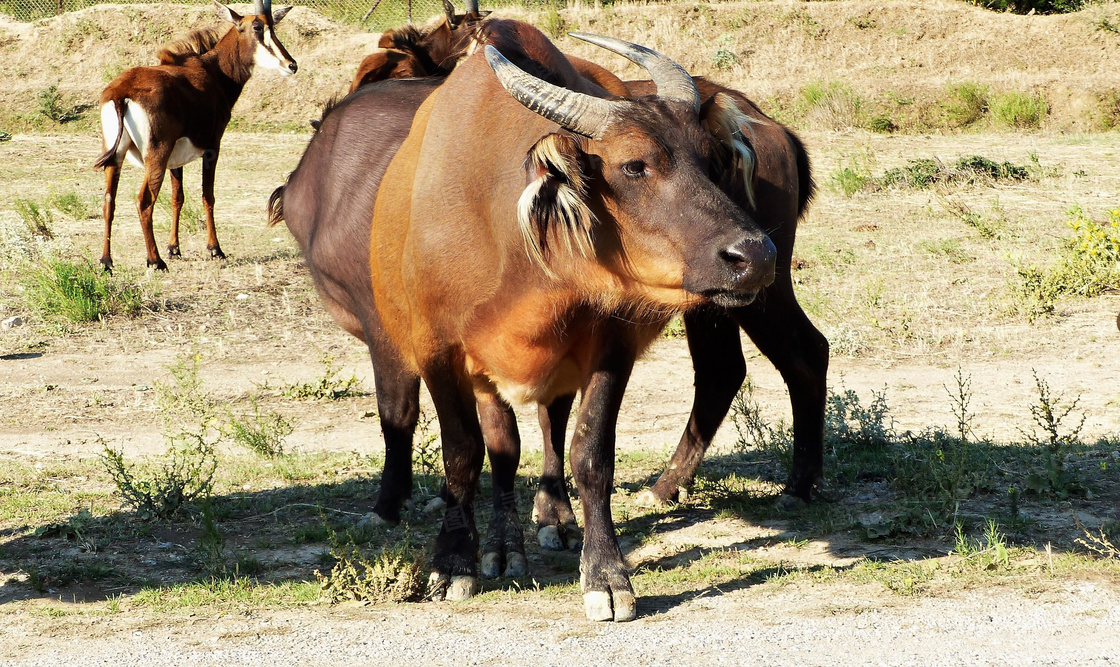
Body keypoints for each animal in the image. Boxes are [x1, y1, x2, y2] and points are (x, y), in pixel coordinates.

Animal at [94, 0, 297, 270]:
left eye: (273, 27)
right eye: (256, 28)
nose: (291, 65)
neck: (214, 71)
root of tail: (121, 92)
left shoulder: (175, 160)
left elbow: (177, 198)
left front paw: (174, 248)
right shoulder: (212, 148)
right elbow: (207, 196)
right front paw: (215, 249)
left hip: (116, 155)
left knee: (109, 201)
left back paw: (106, 261)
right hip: (155, 155)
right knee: (144, 201)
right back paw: (155, 261)